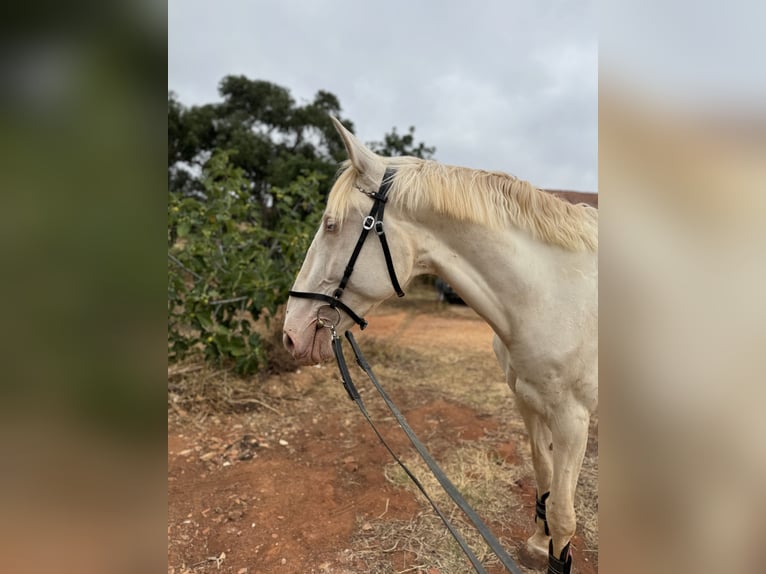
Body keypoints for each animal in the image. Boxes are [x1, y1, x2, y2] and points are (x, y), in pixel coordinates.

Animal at [284, 117, 600, 574]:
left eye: (330, 225)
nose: (291, 332)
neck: (552, 297)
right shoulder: (528, 400)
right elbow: (543, 476)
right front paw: (540, 544)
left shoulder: (573, 419)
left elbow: (563, 511)